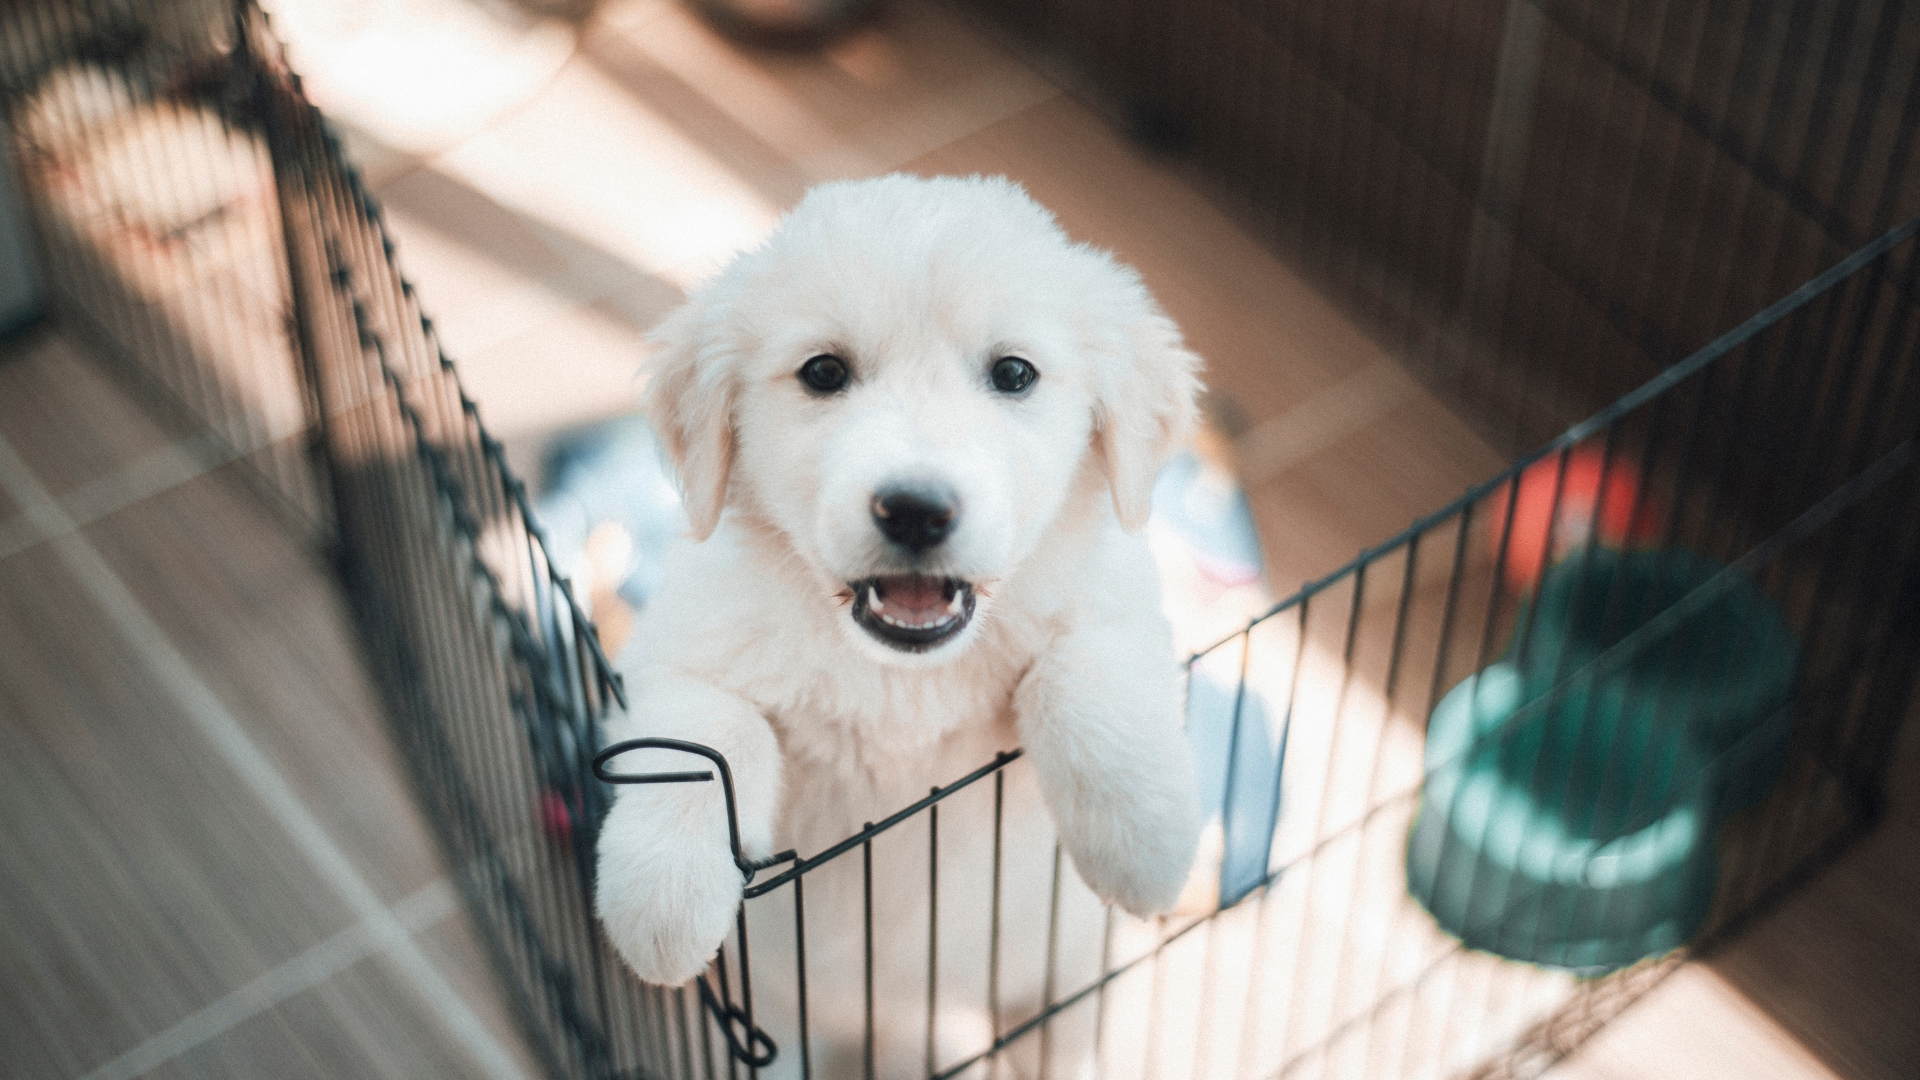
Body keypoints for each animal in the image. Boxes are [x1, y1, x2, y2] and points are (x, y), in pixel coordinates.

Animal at [591, 168, 1205, 1006]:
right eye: (823, 373)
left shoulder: (1117, 600)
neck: (900, 676)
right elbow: (705, 735)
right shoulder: (674, 649)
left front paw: (1147, 843)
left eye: (1014, 374)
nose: (916, 510)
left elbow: (1082, 672)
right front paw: (664, 903)